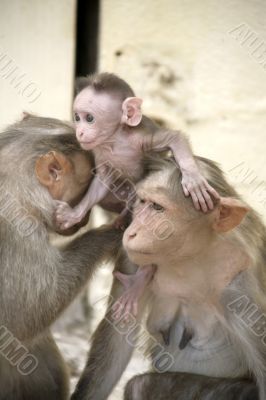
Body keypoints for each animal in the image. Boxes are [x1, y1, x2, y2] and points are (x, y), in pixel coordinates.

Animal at [54, 72, 218, 320]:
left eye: (89, 118)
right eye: (77, 117)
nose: (79, 131)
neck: (115, 140)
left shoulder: (143, 138)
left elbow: (174, 138)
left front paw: (192, 177)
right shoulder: (100, 152)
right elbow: (102, 181)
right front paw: (74, 214)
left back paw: (139, 280)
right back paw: (123, 216)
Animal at [71, 156, 266, 400]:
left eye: (157, 207)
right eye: (142, 201)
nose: (131, 232)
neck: (187, 257)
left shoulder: (240, 291)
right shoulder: (132, 262)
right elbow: (115, 343)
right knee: (140, 385)